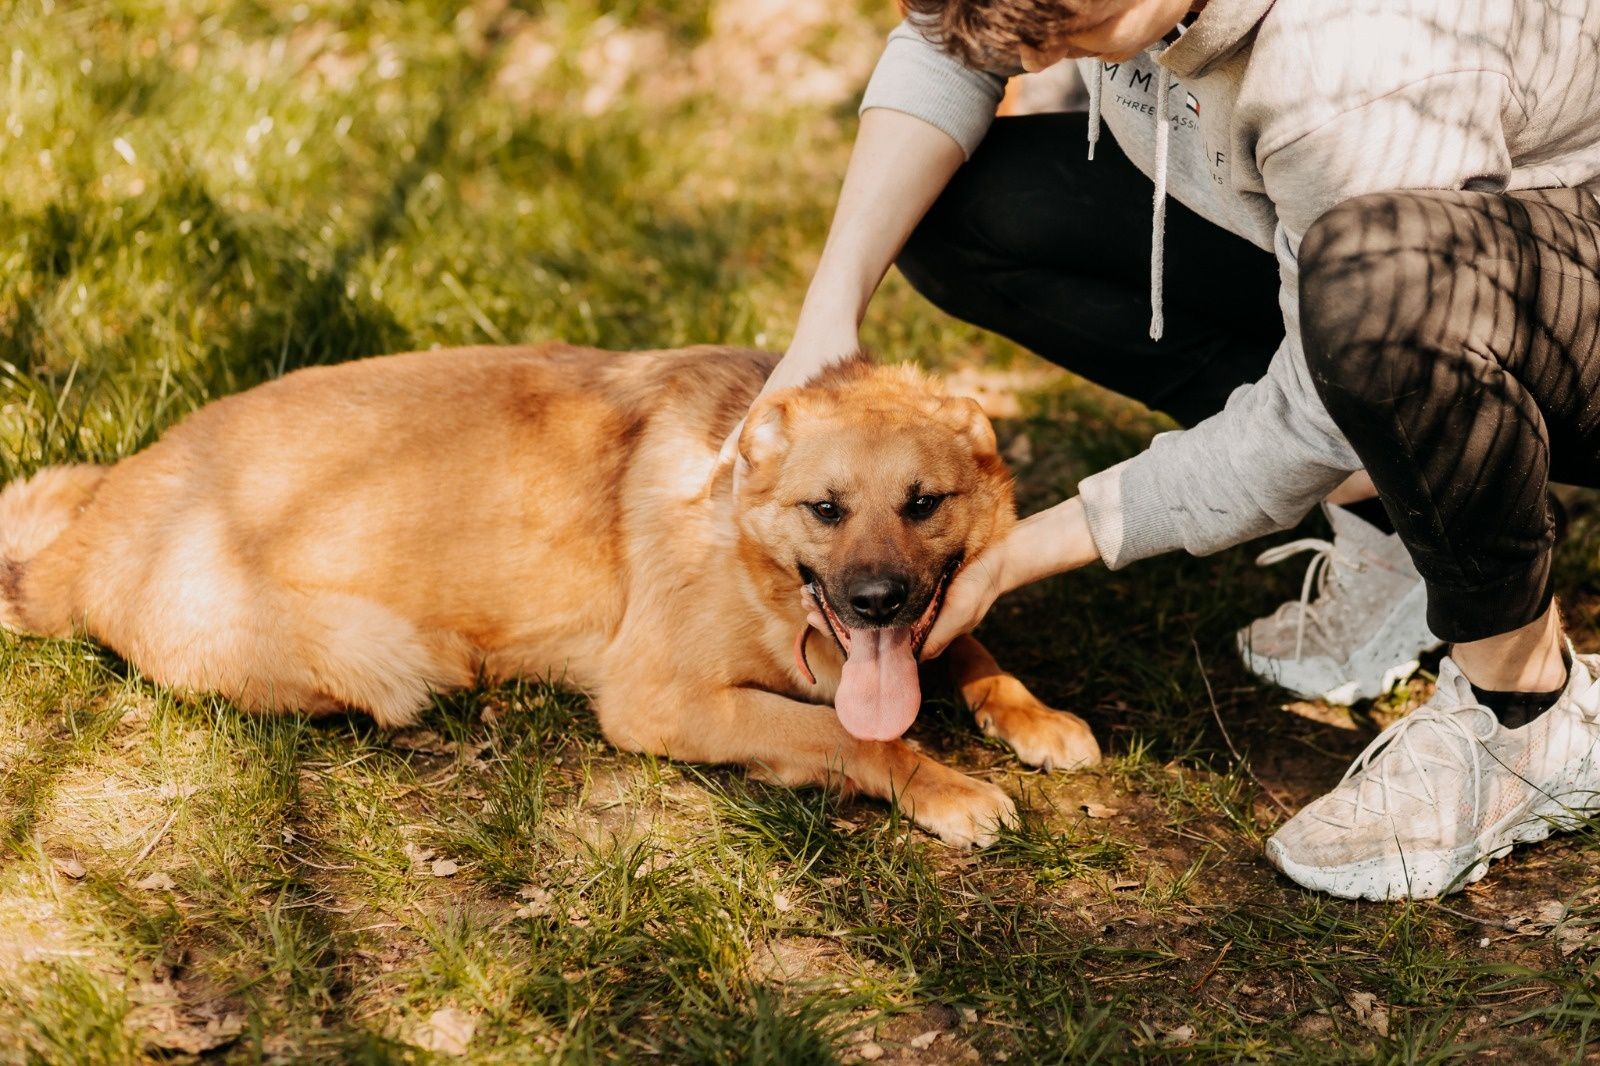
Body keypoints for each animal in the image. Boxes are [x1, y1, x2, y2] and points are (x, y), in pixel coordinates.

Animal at [0, 344, 1100, 845]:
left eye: (923, 504)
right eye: (825, 509)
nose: (874, 600)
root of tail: (96, 523)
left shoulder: (918, 624)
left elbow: (966, 648)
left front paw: (1031, 713)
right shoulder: (657, 701)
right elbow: (850, 731)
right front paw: (944, 784)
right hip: (388, 653)